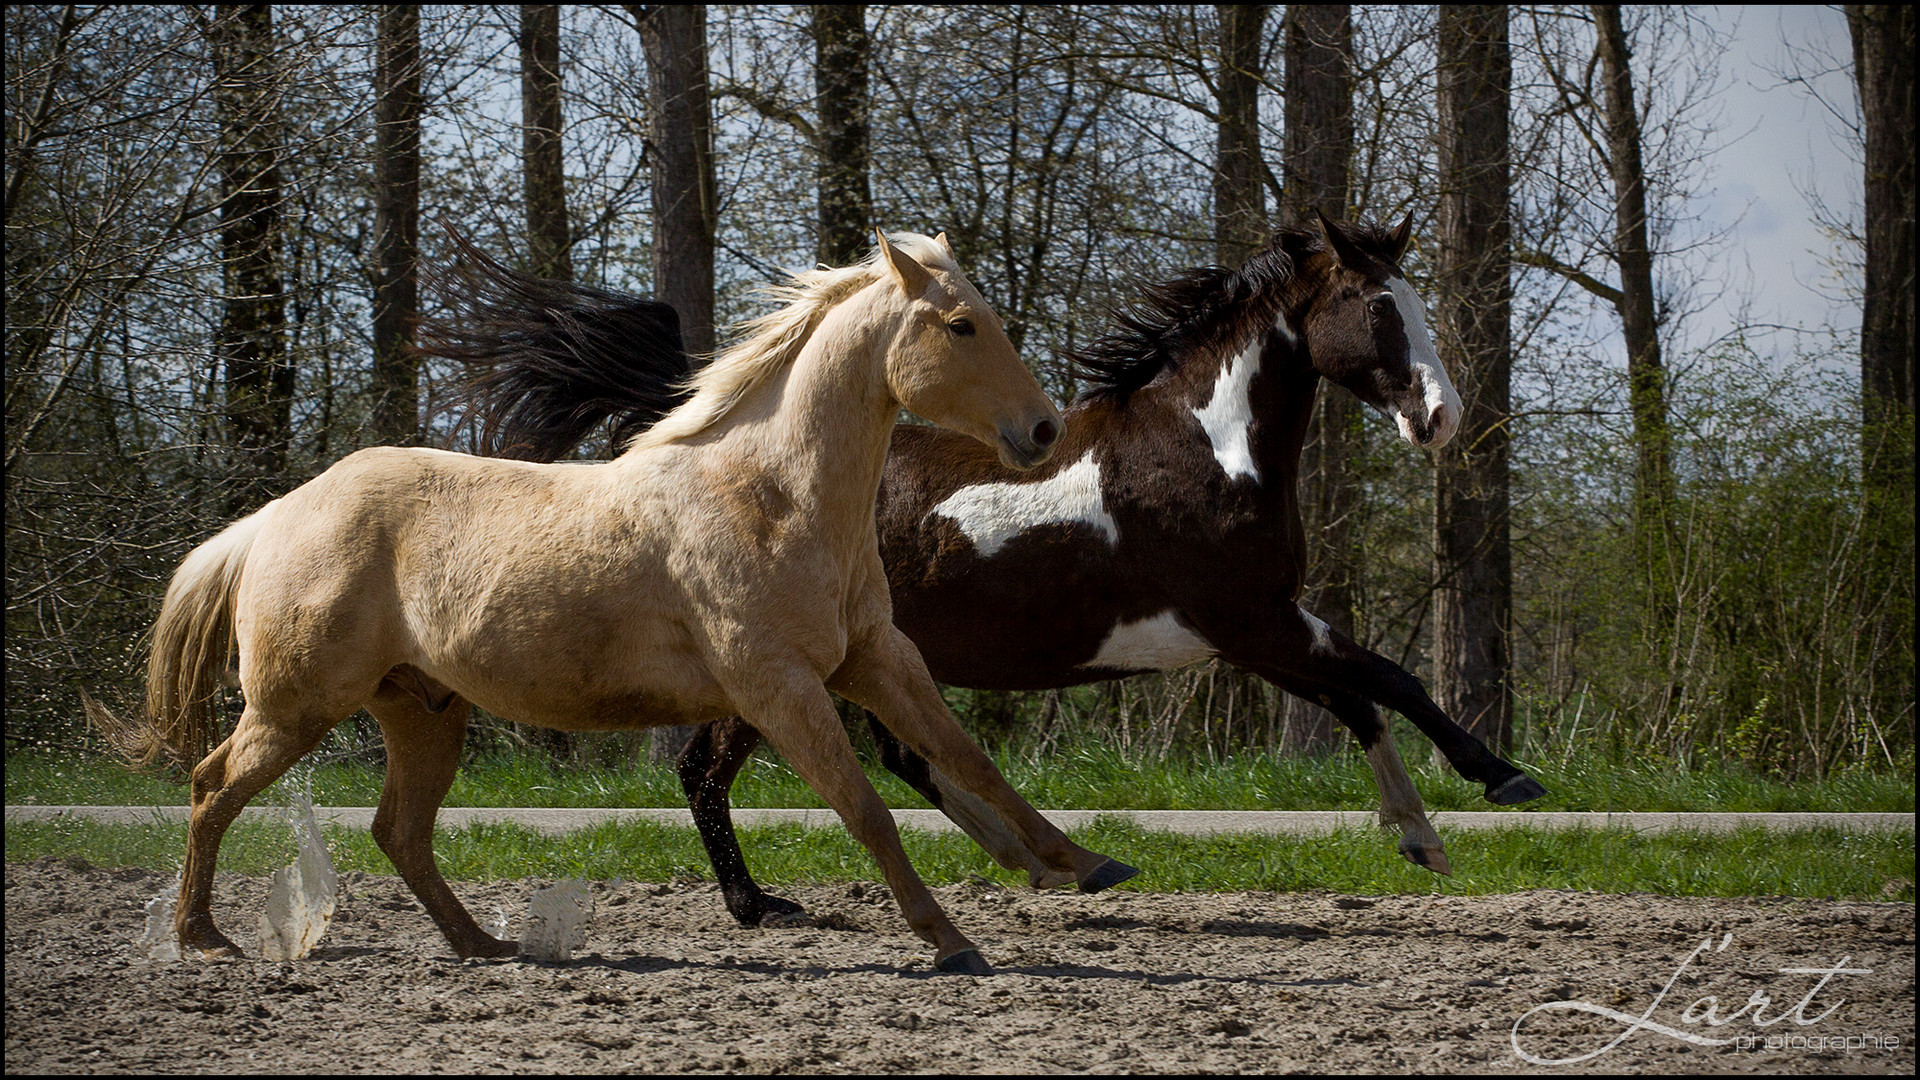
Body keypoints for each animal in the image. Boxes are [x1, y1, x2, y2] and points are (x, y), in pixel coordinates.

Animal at [101, 228, 1121, 968]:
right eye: (959, 325)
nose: (1042, 431)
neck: (769, 498)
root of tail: (274, 517)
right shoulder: (777, 686)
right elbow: (863, 806)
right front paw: (950, 942)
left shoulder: (875, 656)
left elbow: (970, 762)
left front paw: (1085, 865)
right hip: (297, 706)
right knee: (214, 786)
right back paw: (203, 937)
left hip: (423, 711)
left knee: (399, 831)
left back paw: (485, 945)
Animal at [441, 216, 1551, 926]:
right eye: (1377, 306)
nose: (1440, 416)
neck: (1206, 448)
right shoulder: (1249, 620)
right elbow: (1391, 680)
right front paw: (1501, 780)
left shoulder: (1263, 626)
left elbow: (1364, 698)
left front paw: (1420, 834)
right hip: (769, 666)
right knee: (708, 770)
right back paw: (762, 906)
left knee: (901, 758)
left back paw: (1034, 864)